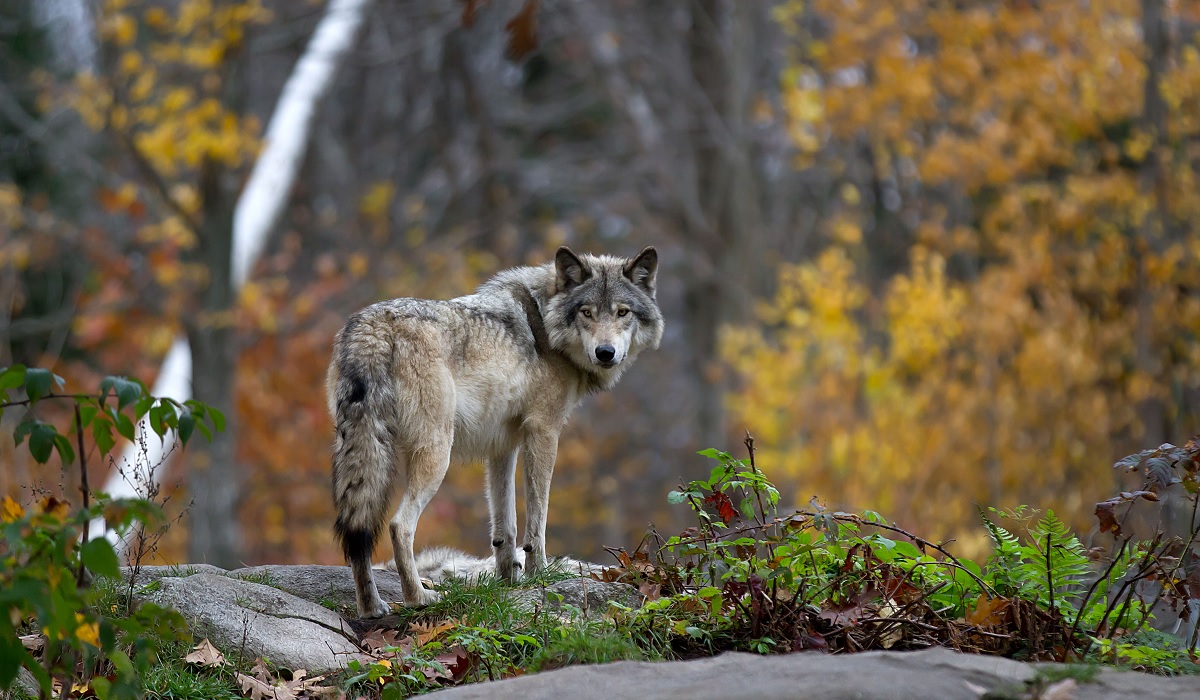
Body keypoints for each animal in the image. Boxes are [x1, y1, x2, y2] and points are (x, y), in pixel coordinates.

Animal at [328, 247, 662, 619]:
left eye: (622, 312)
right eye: (586, 312)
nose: (606, 353)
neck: (545, 323)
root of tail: (373, 326)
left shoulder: (502, 445)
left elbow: (506, 526)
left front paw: (508, 581)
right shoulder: (544, 432)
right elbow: (537, 520)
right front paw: (537, 575)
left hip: (361, 450)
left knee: (358, 530)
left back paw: (371, 607)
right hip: (436, 455)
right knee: (400, 525)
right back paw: (419, 598)